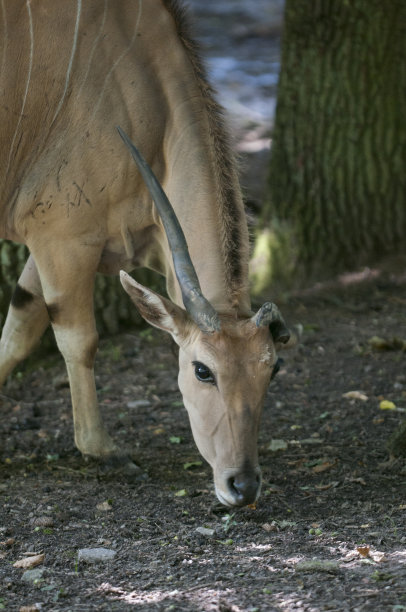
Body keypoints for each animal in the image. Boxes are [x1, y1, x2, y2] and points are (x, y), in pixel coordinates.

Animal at [1, 0, 290, 506]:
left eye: (272, 369)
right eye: (202, 370)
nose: (243, 485)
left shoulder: (50, 247)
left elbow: (17, 332)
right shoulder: (64, 238)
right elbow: (78, 339)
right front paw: (103, 450)